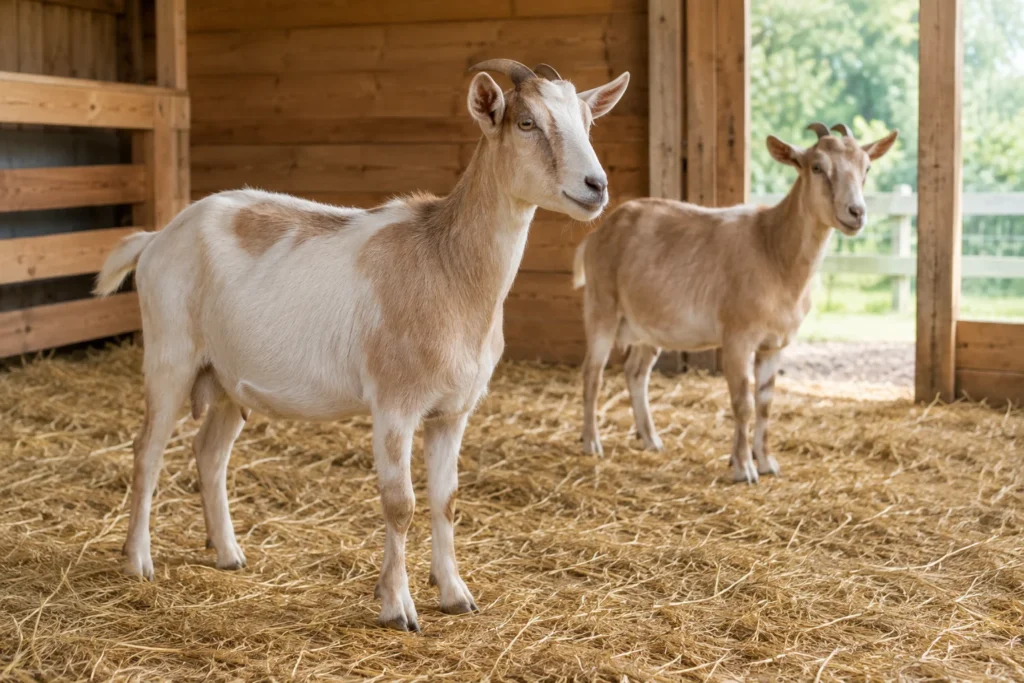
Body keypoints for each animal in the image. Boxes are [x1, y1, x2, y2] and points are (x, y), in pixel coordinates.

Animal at [94, 60, 630, 631]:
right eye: (527, 122)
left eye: (587, 122)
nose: (596, 186)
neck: (447, 267)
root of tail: (156, 238)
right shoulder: (394, 405)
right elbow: (401, 503)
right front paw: (398, 607)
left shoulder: (452, 411)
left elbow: (446, 500)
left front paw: (455, 595)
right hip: (169, 356)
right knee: (147, 451)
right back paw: (138, 561)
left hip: (226, 378)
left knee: (209, 453)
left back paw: (228, 553)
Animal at [573, 122, 898, 482]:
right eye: (817, 167)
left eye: (866, 168)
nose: (856, 213)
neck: (773, 249)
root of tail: (598, 234)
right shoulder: (738, 338)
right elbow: (742, 402)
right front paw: (743, 468)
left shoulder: (773, 345)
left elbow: (765, 402)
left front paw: (766, 462)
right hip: (601, 306)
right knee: (593, 372)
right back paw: (592, 443)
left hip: (650, 325)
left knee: (635, 373)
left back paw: (651, 439)